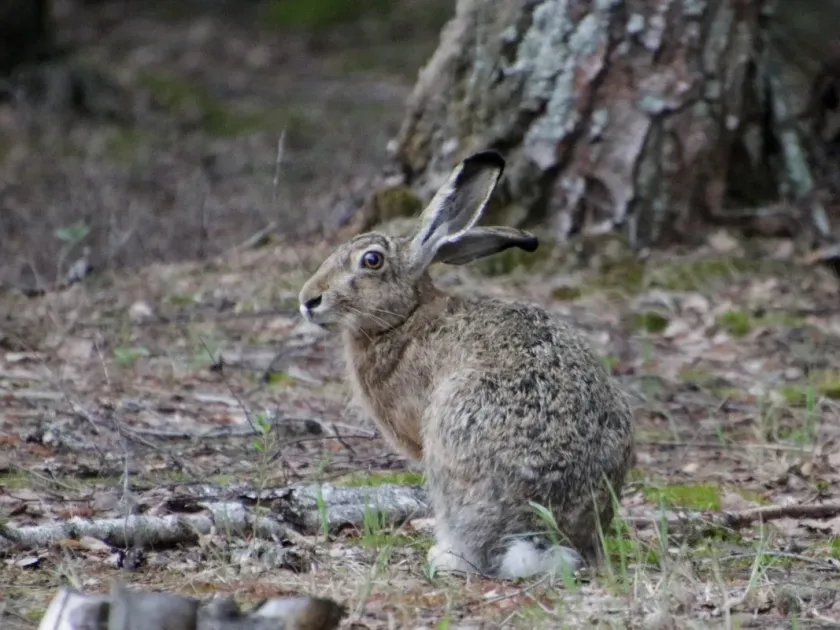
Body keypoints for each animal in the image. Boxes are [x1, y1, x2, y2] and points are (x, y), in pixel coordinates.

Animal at [298, 150, 635, 579]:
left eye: (371, 260)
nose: (309, 299)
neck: (405, 317)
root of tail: (538, 535)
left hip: (450, 447)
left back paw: (444, 555)